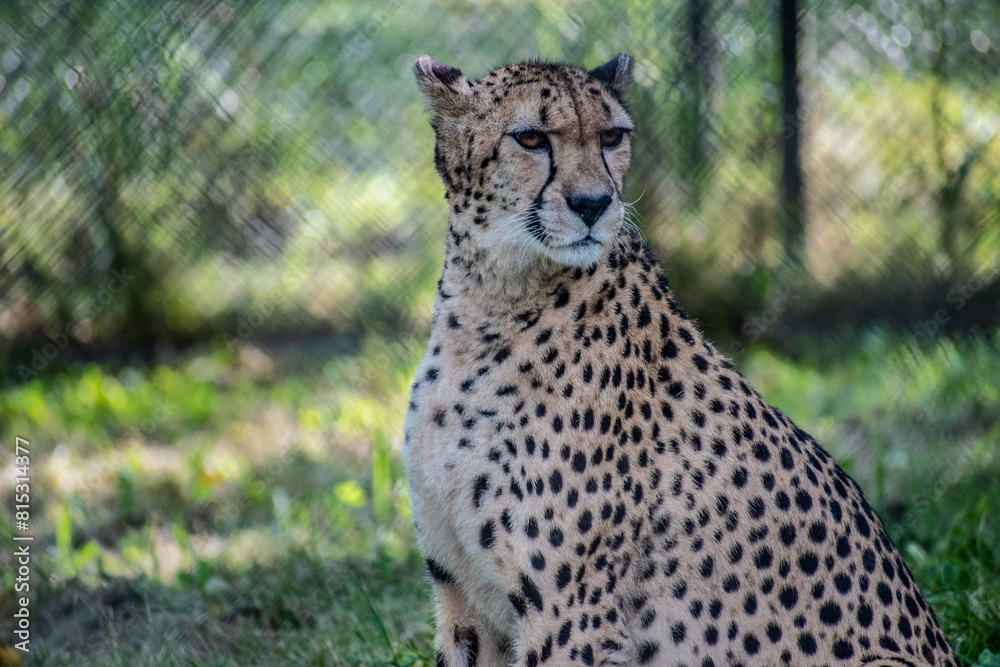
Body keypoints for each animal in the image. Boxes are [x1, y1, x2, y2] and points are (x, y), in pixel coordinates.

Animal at [403, 53, 960, 667]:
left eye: (611, 137)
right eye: (530, 138)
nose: (594, 205)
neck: (490, 303)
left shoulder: (574, 615)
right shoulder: (462, 594)